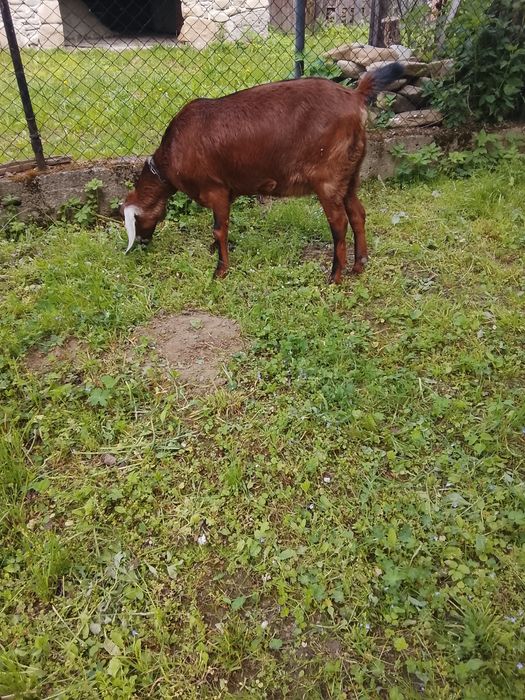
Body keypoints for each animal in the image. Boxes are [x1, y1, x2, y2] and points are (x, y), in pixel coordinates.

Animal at [122, 62, 403, 283]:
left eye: (136, 221)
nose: (142, 245)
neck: (171, 155)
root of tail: (355, 96)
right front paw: (214, 252)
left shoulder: (216, 189)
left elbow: (219, 229)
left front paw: (220, 271)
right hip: (351, 173)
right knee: (357, 213)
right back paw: (359, 266)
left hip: (328, 177)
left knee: (339, 222)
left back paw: (335, 276)